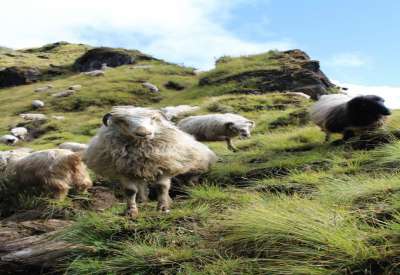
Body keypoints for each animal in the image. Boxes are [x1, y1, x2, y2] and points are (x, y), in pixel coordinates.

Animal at [83, 106, 217, 219]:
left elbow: (162, 187)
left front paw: (163, 208)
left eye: (152, 119)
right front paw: (131, 211)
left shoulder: (164, 166)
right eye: (124, 121)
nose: (144, 133)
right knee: (141, 186)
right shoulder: (125, 171)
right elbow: (130, 191)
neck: (141, 150)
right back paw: (143, 201)